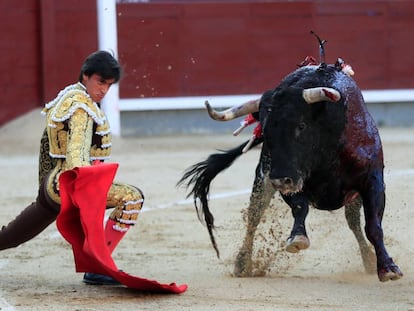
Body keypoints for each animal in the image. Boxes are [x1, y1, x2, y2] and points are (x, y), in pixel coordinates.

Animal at [177, 36, 402, 282]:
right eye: (265, 130)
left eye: (301, 125)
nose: (279, 180)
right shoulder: (288, 178)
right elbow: (300, 208)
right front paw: (298, 239)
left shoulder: (371, 180)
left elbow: (373, 225)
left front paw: (388, 268)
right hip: (262, 180)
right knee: (254, 217)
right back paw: (242, 263)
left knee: (353, 222)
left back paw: (369, 259)